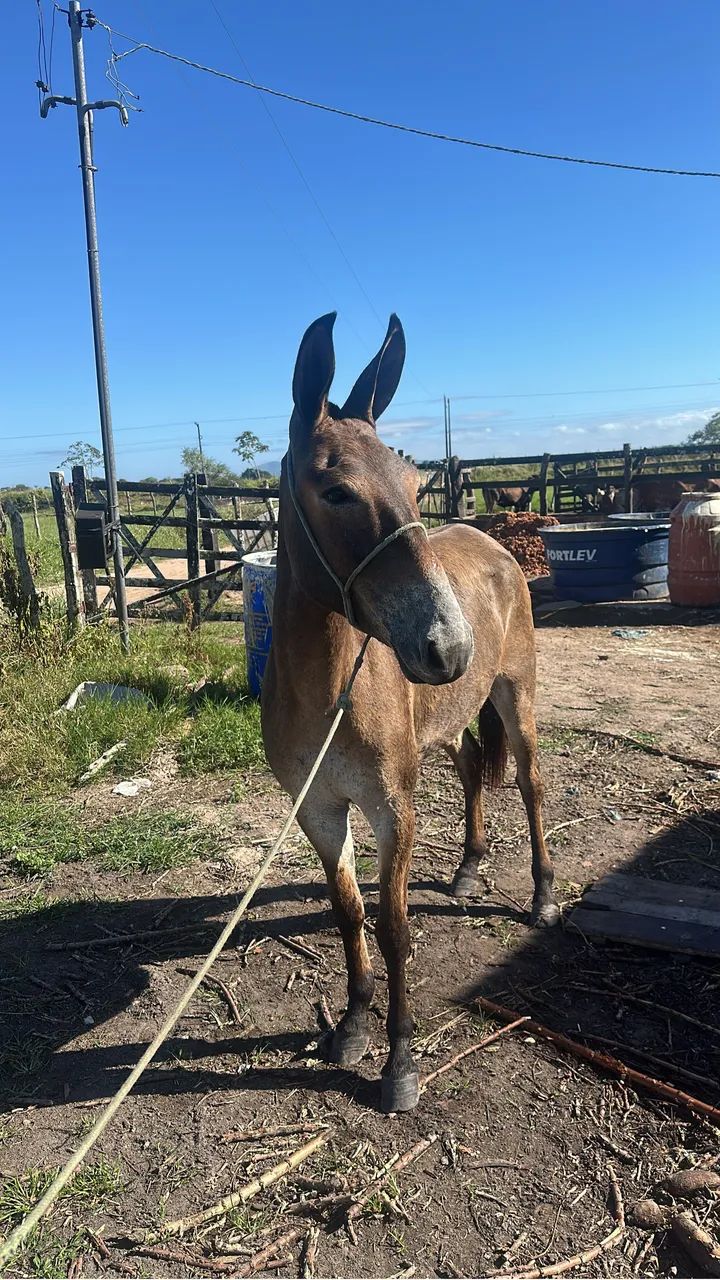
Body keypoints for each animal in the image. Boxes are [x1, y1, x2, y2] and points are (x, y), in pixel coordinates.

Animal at [261, 313, 558, 1114]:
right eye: (335, 490)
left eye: (414, 483)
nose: (447, 645)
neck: (327, 691)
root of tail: (494, 540)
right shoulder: (319, 807)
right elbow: (348, 912)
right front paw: (353, 1026)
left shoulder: (392, 807)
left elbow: (392, 924)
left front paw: (398, 1060)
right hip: (449, 720)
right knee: (472, 769)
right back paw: (468, 868)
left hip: (515, 696)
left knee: (528, 785)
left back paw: (543, 897)